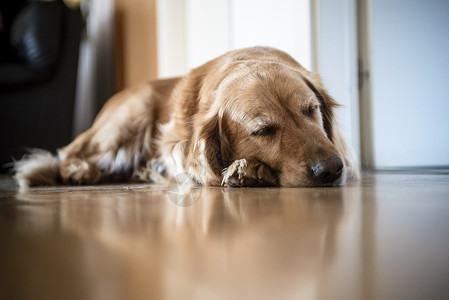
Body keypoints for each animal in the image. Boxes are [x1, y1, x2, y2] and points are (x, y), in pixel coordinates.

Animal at [13, 47, 356, 191]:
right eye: (263, 130)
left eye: (311, 110)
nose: (331, 169)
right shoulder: (175, 144)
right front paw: (249, 170)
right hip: (129, 117)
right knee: (67, 153)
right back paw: (77, 171)